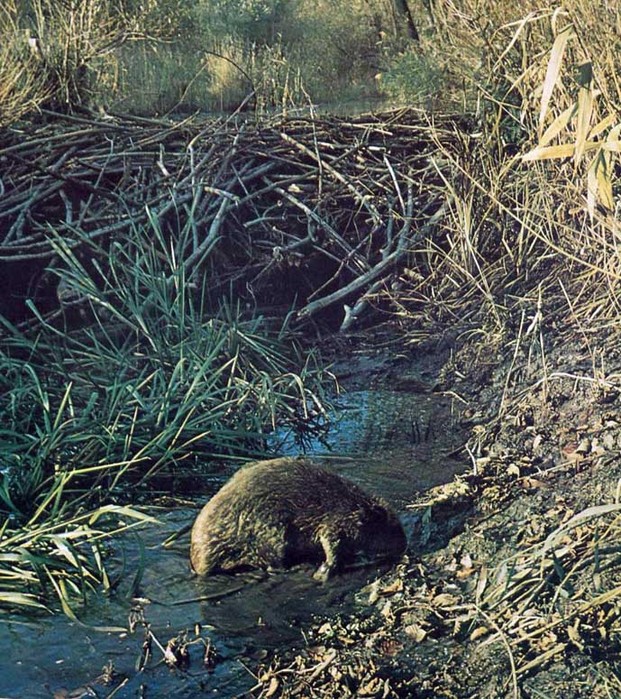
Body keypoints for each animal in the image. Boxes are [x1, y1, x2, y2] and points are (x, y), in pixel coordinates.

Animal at [189, 456, 406, 584]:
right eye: (392, 527)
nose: (404, 545)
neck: (354, 506)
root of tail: (198, 561)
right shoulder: (335, 522)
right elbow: (331, 545)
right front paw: (322, 573)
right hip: (270, 535)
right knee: (272, 565)